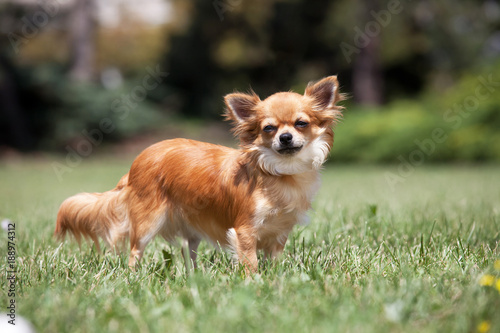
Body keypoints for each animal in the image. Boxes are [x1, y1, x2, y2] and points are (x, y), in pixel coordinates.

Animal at [54, 76, 344, 272]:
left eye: (301, 123)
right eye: (269, 129)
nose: (285, 137)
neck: (282, 173)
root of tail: (135, 163)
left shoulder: (280, 234)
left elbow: (273, 260)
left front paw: (276, 278)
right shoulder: (244, 231)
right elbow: (250, 262)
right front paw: (254, 283)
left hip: (190, 228)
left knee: (188, 254)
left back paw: (193, 277)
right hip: (148, 221)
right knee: (135, 250)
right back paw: (134, 276)